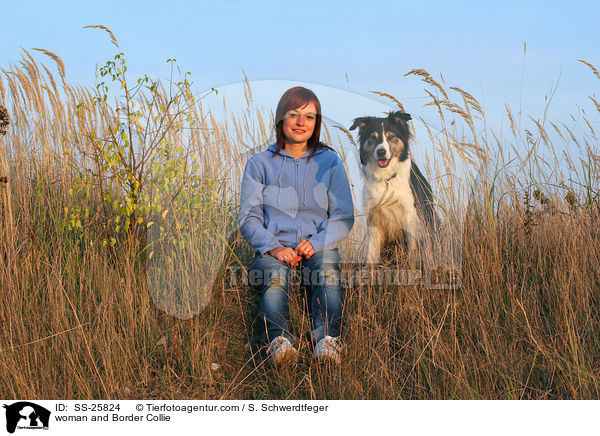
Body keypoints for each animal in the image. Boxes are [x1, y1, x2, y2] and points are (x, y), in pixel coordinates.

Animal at [350, 110, 438, 264]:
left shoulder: (410, 217)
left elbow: (412, 250)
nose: (381, 152)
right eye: (373, 137)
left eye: (391, 137)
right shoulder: (374, 219)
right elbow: (371, 256)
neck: (386, 178)